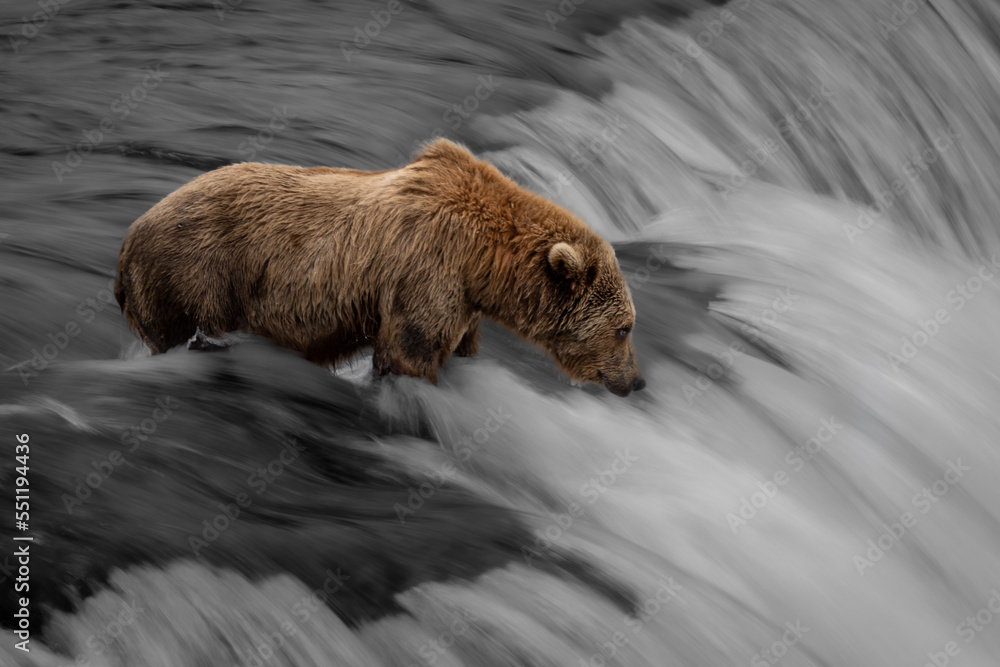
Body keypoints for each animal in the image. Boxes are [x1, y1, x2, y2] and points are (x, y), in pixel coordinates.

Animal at [115, 138, 645, 396]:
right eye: (624, 328)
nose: (635, 381)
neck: (484, 263)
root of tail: (127, 238)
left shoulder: (463, 302)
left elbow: (459, 349)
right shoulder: (428, 272)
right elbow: (410, 353)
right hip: (195, 275)